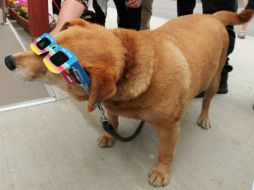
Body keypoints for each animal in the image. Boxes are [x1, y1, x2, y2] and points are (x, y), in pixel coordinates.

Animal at [4, 10, 253, 187]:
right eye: (44, 44)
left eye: (51, 66)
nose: (8, 61)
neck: (129, 64)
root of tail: (212, 16)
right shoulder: (110, 105)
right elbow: (112, 120)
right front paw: (109, 134)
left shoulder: (169, 128)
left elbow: (166, 152)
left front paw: (161, 171)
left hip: (214, 79)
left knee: (208, 101)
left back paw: (204, 117)